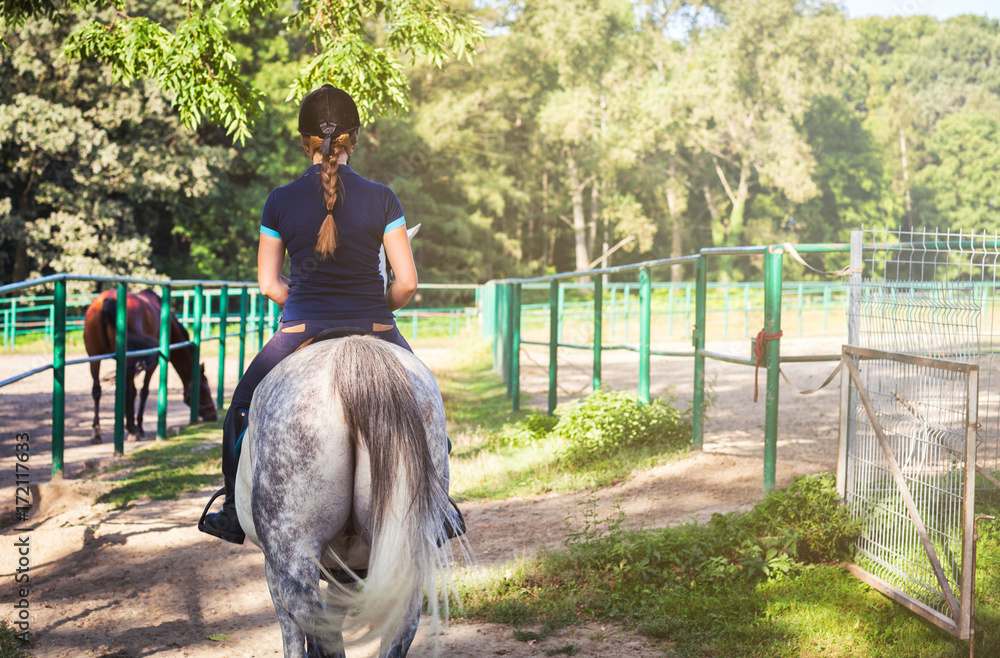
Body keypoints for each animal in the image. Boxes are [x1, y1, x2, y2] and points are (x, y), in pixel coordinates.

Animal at [83, 286, 217, 440]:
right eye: (205, 390)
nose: (214, 415)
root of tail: (107, 299)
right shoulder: (154, 362)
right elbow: (143, 391)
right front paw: (138, 427)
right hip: (126, 359)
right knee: (127, 390)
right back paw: (132, 430)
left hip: (94, 357)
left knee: (97, 390)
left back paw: (96, 432)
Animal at [234, 336, 458, 652]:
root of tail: (351, 350)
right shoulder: (350, 567)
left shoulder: (274, 566)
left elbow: (294, 638)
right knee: (401, 620)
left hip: (292, 551)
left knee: (314, 625)